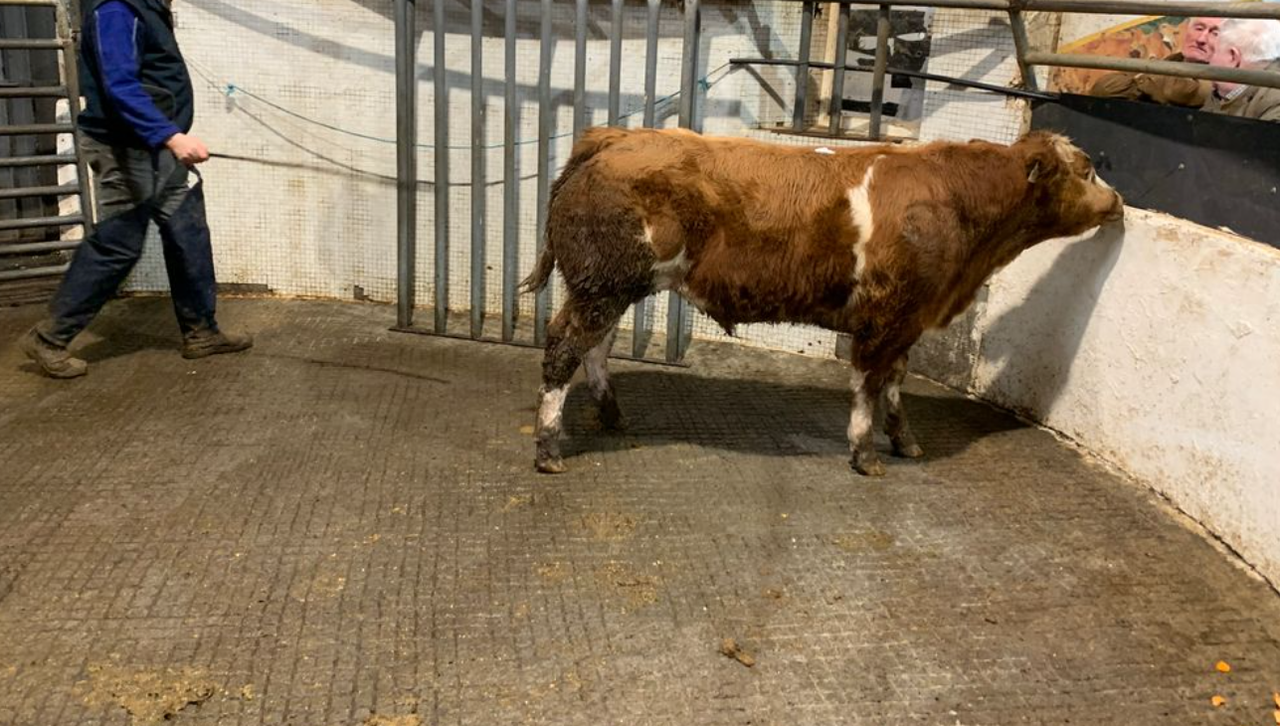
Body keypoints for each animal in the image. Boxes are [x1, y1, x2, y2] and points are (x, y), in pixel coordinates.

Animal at [520, 127, 1124, 476]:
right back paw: (549, 450)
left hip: (607, 287)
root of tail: (612, 137)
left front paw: (906, 443)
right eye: (1087, 168)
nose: (1118, 201)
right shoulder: (887, 317)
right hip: (604, 284)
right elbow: (869, 384)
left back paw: (612, 416)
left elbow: (895, 384)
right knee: (563, 349)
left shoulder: (908, 318)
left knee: (593, 349)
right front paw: (865, 454)